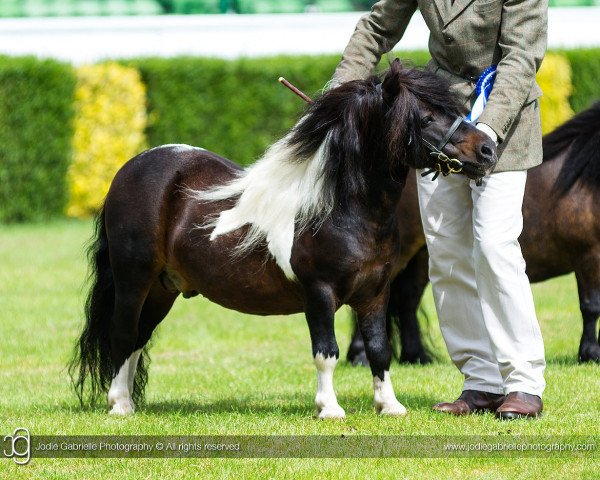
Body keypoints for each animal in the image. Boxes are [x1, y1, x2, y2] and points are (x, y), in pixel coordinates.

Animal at [69, 61, 496, 420]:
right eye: (425, 118)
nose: (488, 149)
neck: (339, 207)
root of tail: (130, 169)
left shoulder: (375, 293)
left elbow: (379, 349)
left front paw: (389, 406)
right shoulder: (319, 293)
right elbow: (326, 352)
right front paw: (329, 409)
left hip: (163, 288)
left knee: (139, 339)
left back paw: (128, 400)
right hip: (134, 280)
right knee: (123, 334)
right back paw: (120, 405)